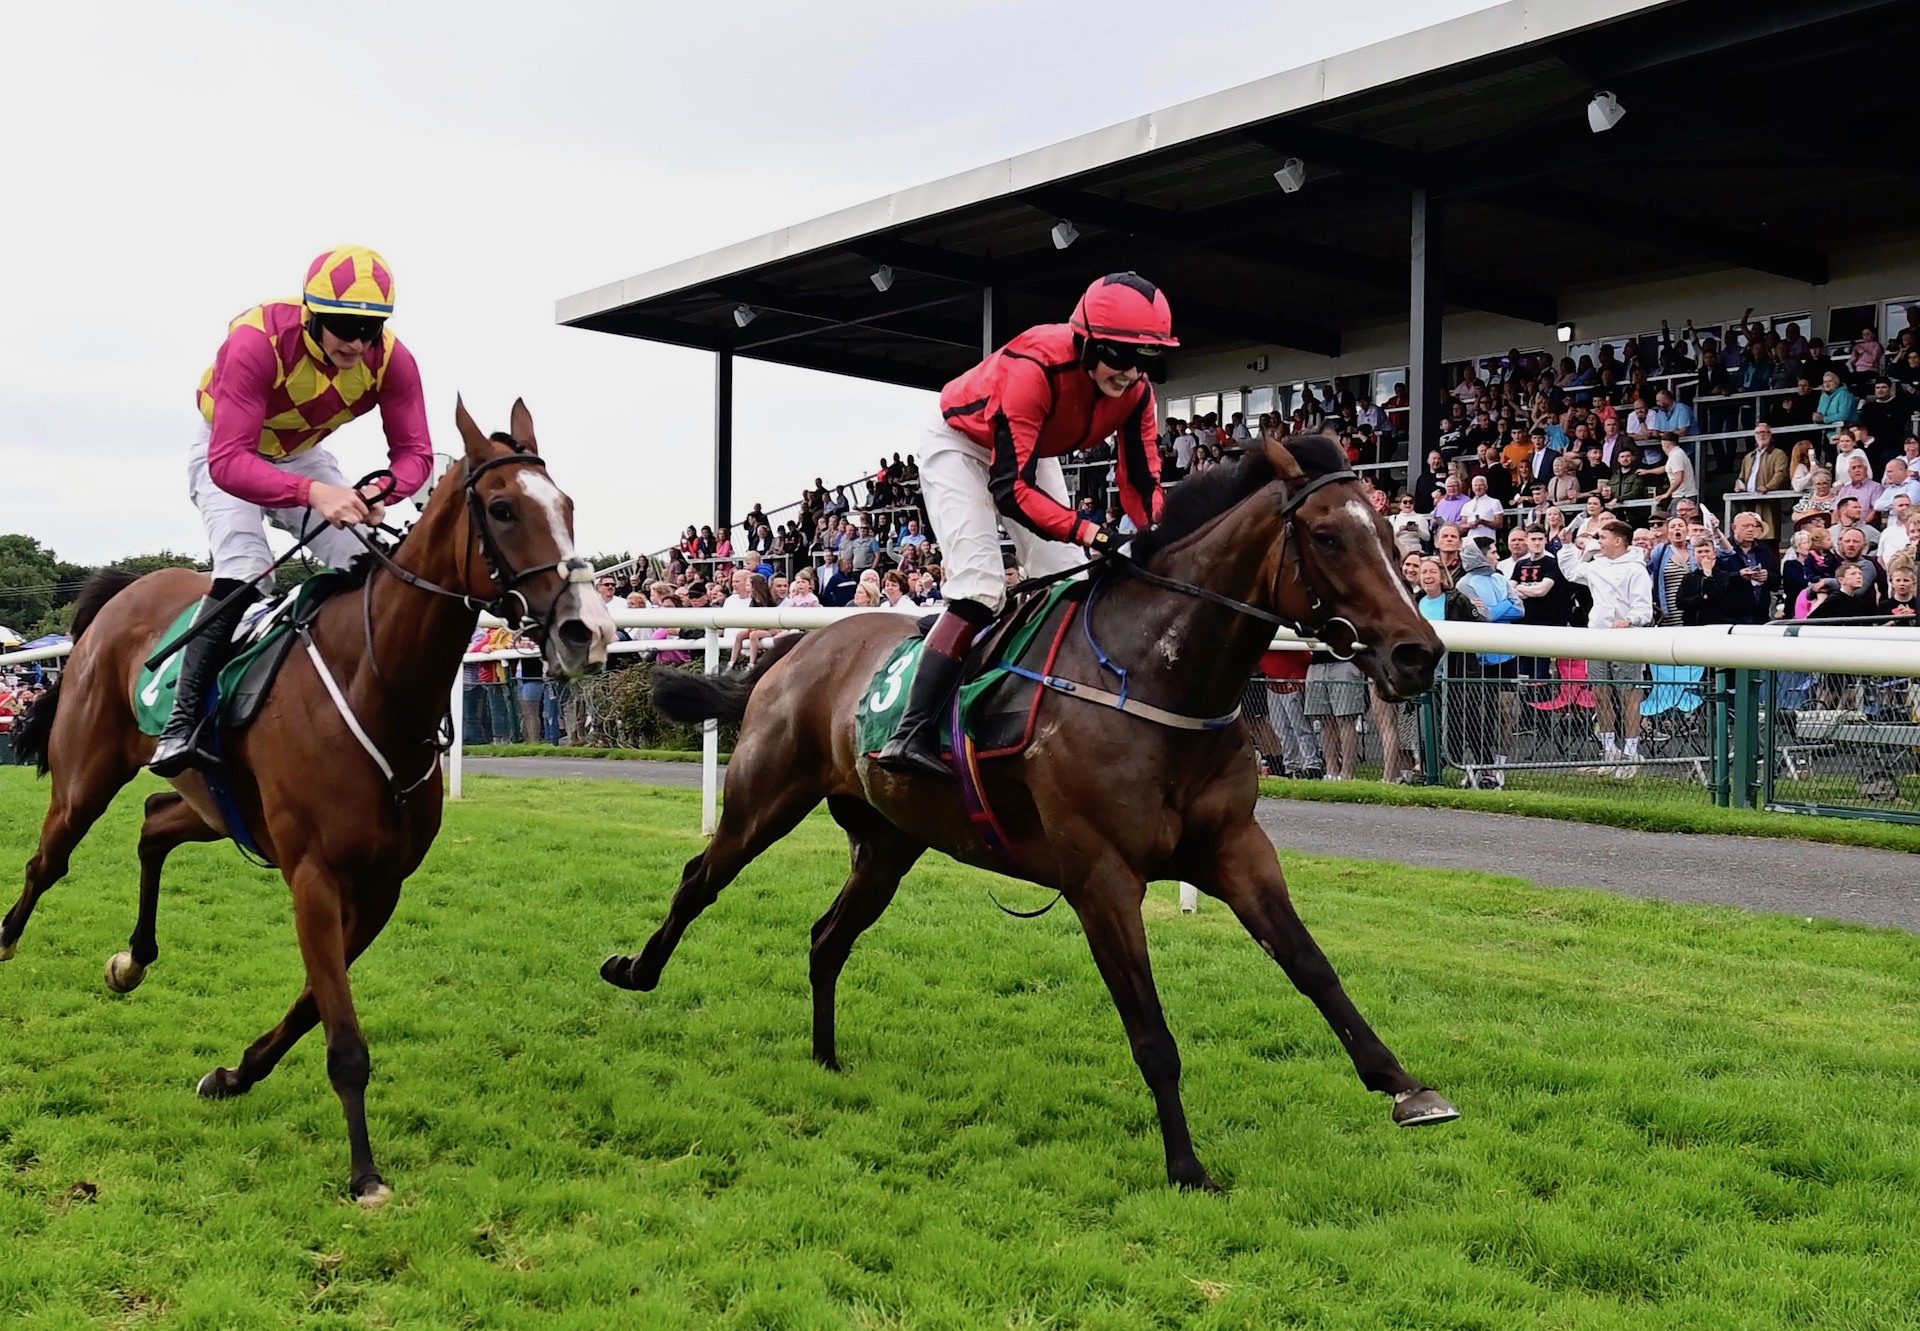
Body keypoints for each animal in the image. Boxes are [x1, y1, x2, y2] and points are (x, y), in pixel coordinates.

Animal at [1, 397, 614, 1206]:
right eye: (505, 508)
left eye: (568, 505)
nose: (587, 631)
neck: (375, 683)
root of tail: (122, 594)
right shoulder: (316, 876)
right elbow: (341, 1030)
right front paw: (365, 1173)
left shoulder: (380, 886)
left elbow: (311, 1005)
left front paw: (234, 1073)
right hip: (85, 776)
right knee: (48, 861)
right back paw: (7, 940)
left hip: (215, 806)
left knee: (154, 826)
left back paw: (133, 959)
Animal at [606, 430, 1459, 1190]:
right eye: (1327, 536)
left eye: (1393, 536)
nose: (1418, 652)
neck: (1152, 676)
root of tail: (796, 649)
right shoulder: (1101, 878)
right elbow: (1151, 1031)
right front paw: (1186, 1166)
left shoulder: (1236, 849)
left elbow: (1314, 966)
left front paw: (1406, 1085)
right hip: (768, 795)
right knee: (701, 876)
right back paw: (636, 970)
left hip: (887, 844)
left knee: (825, 936)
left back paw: (825, 1056)